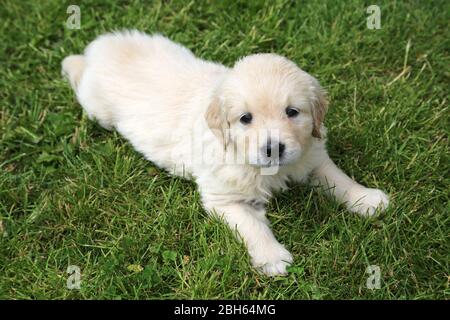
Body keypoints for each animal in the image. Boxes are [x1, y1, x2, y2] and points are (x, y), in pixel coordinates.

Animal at [61, 30, 388, 276]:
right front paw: (273, 257)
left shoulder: (311, 155)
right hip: (96, 107)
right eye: (245, 118)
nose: (273, 148)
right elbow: (253, 226)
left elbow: (338, 178)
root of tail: (100, 48)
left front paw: (367, 199)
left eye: (292, 112)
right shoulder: (225, 198)